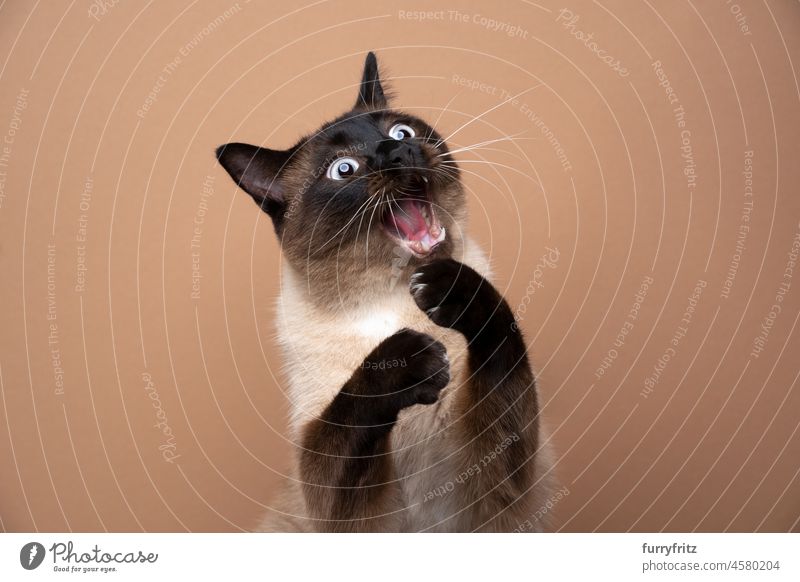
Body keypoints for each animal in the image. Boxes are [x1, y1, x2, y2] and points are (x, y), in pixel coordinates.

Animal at [216, 54, 552, 532]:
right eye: (344, 170)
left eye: (401, 132)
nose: (398, 152)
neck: (391, 298)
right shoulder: (349, 509)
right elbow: (348, 409)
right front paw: (412, 359)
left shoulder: (485, 487)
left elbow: (499, 334)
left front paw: (448, 290)